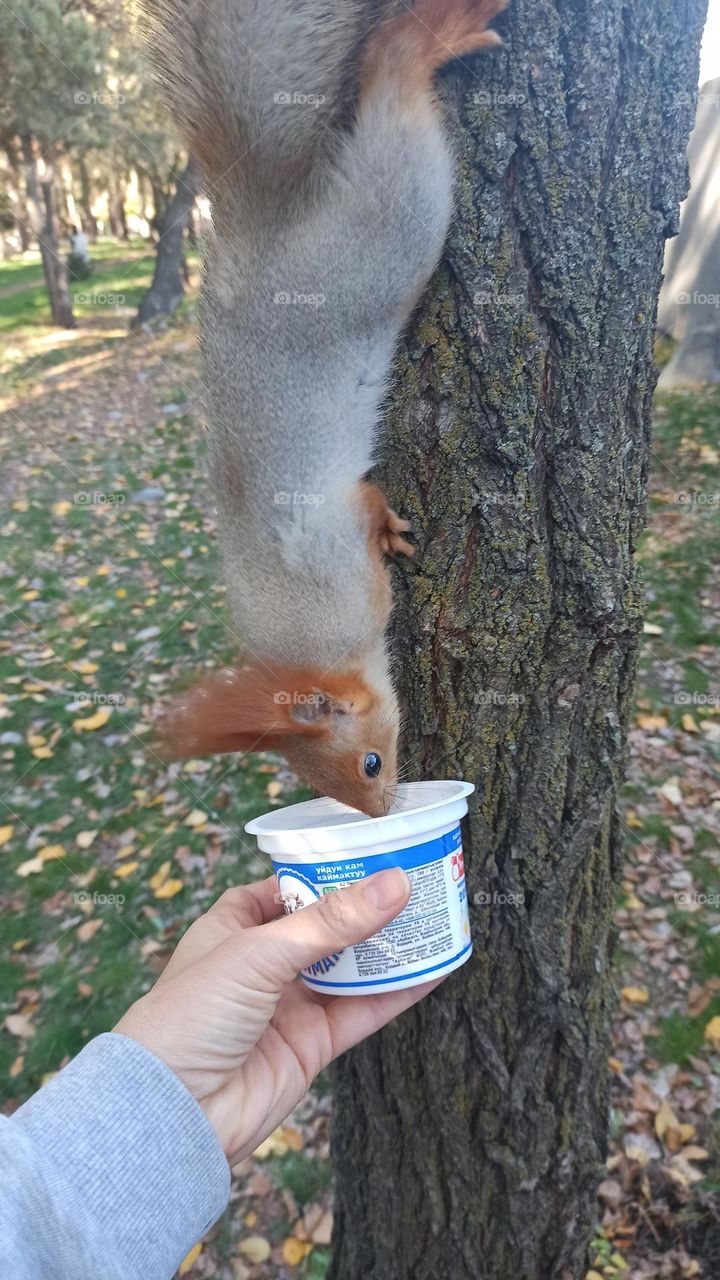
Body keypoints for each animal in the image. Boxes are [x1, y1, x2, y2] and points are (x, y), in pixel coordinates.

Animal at [145, 0, 506, 816]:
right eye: (327, 786)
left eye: (369, 765)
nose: (382, 812)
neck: (305, 625)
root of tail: (266, 227)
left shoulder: (335, 551)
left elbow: (365, 503)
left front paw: (393, 531)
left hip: (385, 233)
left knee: (393, 94)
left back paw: (421, 42)